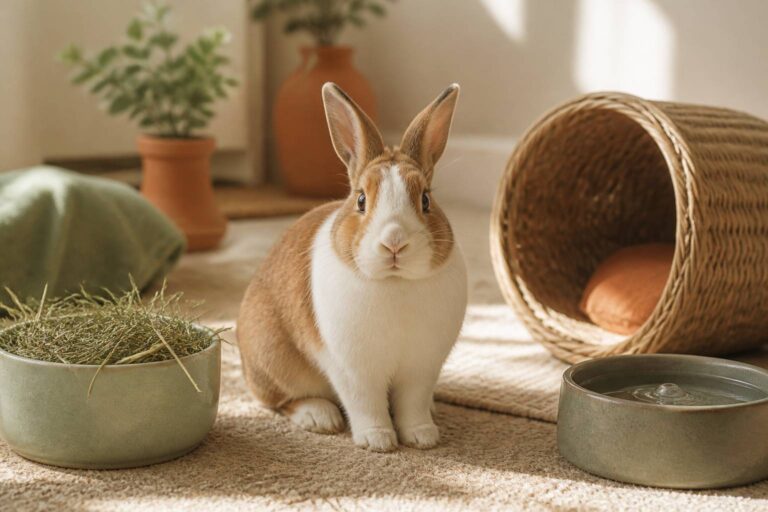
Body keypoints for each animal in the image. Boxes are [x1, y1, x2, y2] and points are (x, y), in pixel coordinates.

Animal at [237, 82, 467, 452]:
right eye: (361, 200)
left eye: (426, 200)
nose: (394, 243)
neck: (395, 282)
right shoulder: (354, 370)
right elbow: (365, 404)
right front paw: (378, 441)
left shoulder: (421, 369)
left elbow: (413, 404)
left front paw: (422, 437)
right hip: (273, 360)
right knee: (279, 401)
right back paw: (319, 417)